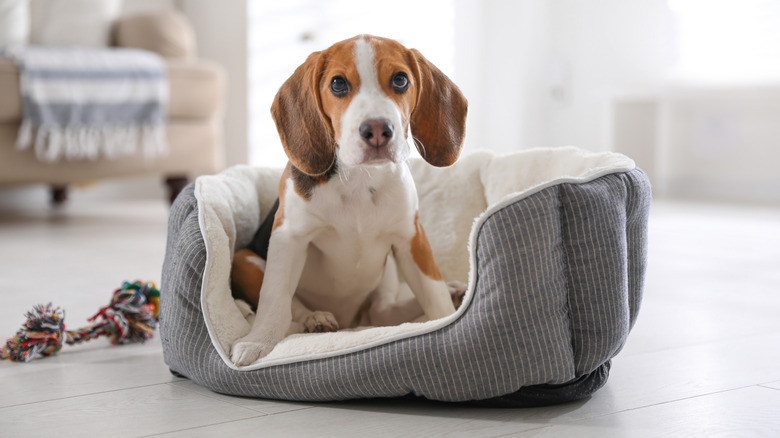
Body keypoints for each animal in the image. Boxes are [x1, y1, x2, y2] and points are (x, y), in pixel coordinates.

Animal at [229, 34, 466, 364]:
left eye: (401, 80)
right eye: (338, 84)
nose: (378, 129)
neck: (359, 178)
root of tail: (349, 321)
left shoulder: (411, 238)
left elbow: (433, 291)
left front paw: (445, 320)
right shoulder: (288, 237)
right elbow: (274, 299)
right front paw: (257, 342)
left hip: (387, 271)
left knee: (380, 313)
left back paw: (452, 292)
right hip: (244, 260)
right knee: (293, 308)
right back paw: (315, 318)